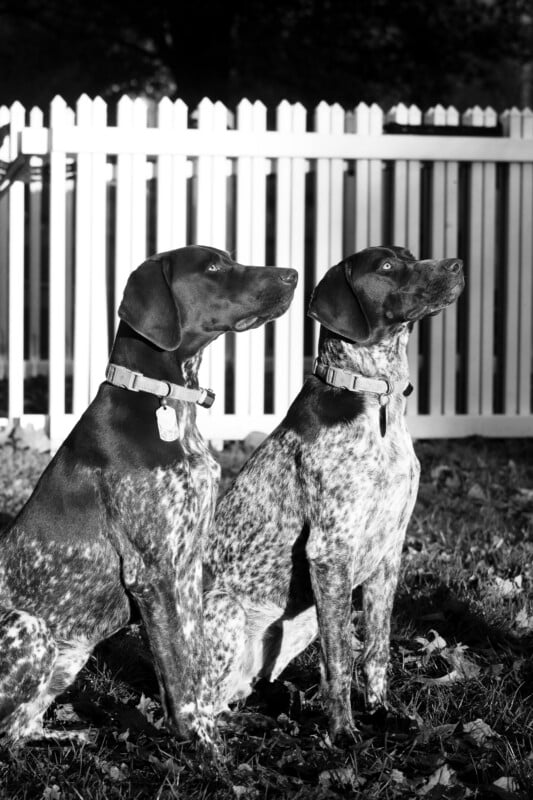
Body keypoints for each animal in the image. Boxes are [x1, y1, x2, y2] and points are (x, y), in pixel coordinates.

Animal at [0, 244, 296, 744]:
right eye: (213, 266)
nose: (293, 274)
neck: (168, 403)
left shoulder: (188, 569)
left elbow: (194, 663)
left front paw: (214, 727)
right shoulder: (154, 572)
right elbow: (179, 675)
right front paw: (205, 747)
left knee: (20, 729)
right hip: (30, 625)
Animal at [203, 247, 462, 740]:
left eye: (410, 256)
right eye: (387, 267)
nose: (456, 264)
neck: (378, 398)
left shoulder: (389, 552)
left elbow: (376, 649)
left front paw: (383, 712)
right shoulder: (331, 552)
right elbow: (340, 657)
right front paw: (343, 732)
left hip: (301, 619)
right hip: (228, 611)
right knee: (201, 700)